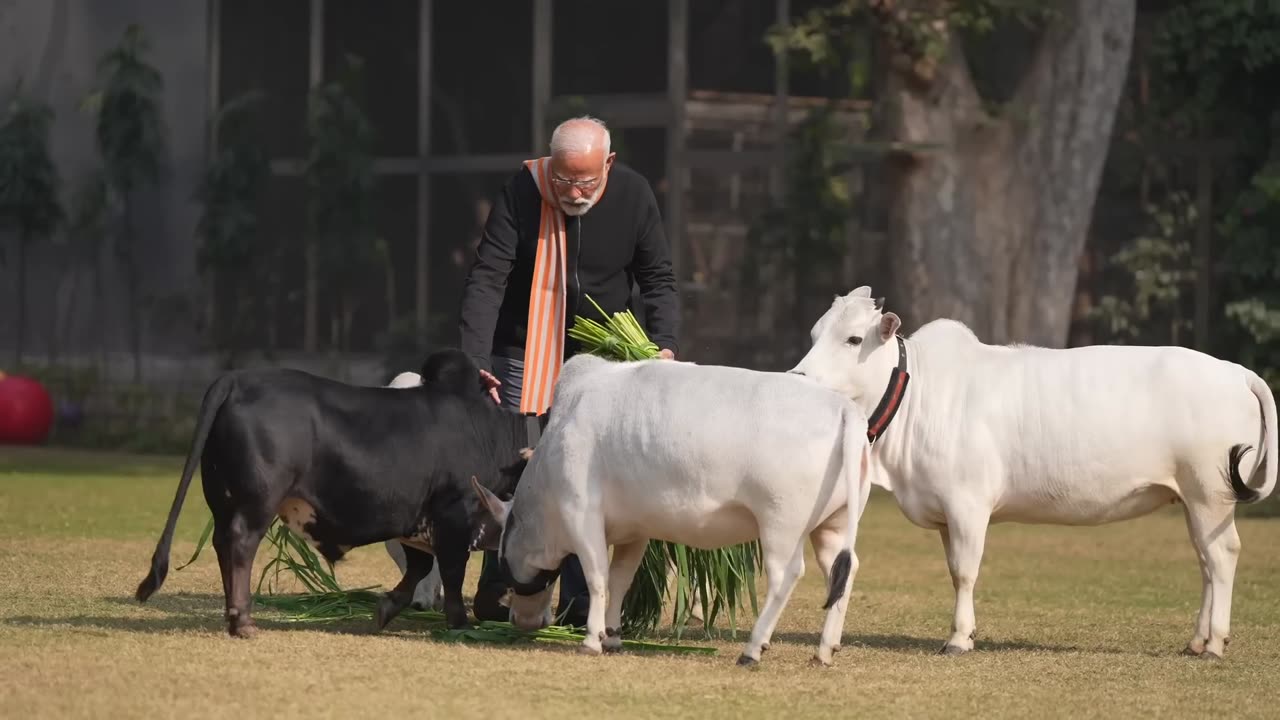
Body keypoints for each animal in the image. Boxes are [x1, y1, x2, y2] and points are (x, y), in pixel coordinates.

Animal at [135, 348, 545, 632]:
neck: (493, 434)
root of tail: (237, 380)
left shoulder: (417, 518)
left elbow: (420, 567)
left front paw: (387, 608)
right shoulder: (453, 513)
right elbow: (451, 572)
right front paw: (459, 622)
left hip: (222, 497)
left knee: (222, 543)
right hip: (256, 501)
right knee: (238, 545)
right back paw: (243, 621)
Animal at [465, 351, 875, 666]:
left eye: (501, 562)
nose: (520, 620)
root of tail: (843, 407)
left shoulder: (581, 513)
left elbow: (597, 577)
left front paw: (592, 640)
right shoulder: (634, 531)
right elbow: (620, 579)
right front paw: (612, 635)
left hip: (781, 524)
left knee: (785, 576)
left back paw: (752, 649)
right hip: (832, 526)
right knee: (843, 569)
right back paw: (824, 651)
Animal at [783, 284, 1274, 655]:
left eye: (853, 339)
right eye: (814, 333)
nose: (798, 378)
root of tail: (1235, 371)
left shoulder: (968, 504)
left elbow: (965, 571)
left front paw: (959, 638)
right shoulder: (944, 510)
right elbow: (953, 569)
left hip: (1210, 491)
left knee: (1222, 555)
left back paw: (1215, 643)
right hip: (1194, 499)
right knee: (1205, 560)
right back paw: (1197, 640)